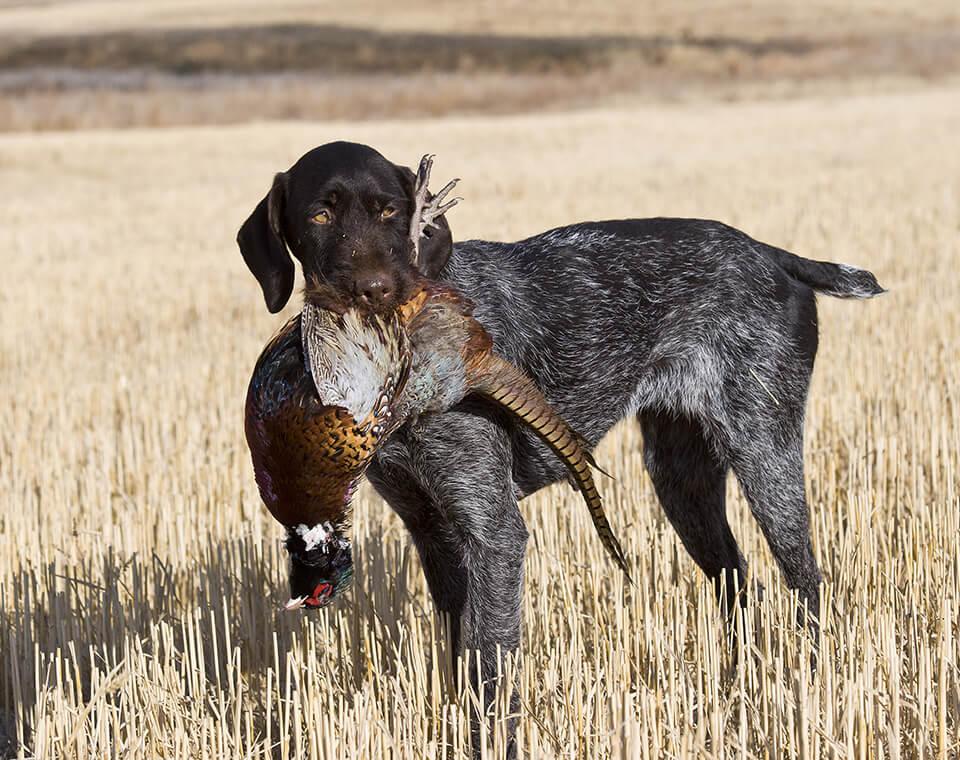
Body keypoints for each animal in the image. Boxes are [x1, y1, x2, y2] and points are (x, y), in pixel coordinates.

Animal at [238, 140, 884, 752]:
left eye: (390, 211)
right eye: (320, 214)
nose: (375, 291)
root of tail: (772, 254)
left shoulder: (493, 532)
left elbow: (492, 672)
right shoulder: (434, 533)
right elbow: (461, 659)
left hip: (765, 456)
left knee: (806, 585)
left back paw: (810, 687)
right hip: (681, 480)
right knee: (737, 583)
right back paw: (739, 687)